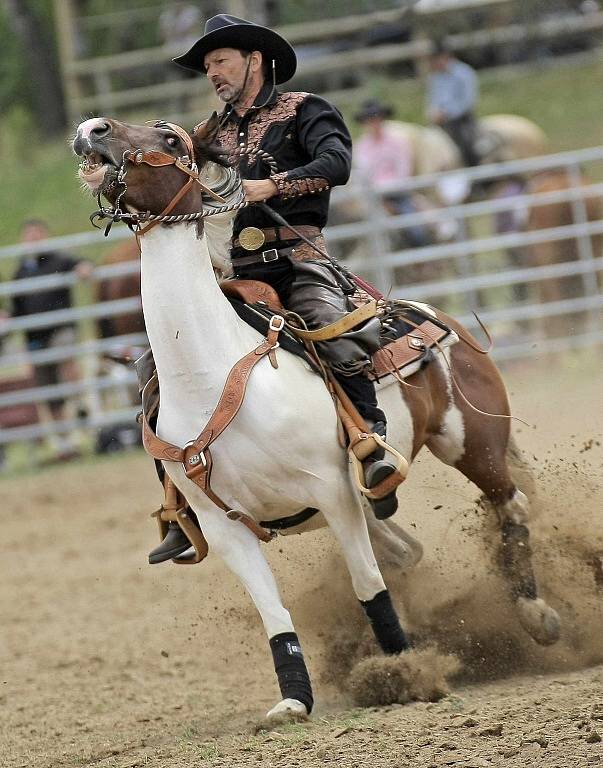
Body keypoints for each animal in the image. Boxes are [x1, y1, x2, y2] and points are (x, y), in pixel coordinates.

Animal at [72, 114, 560, 720]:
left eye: (169, 138)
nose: (92, 128)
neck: (212, 372)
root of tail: (428, 314)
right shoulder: (224, 527)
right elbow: (275, 614)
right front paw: (293, 701)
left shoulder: (333, 493)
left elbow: (368, 583)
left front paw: (402, 668)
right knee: (410, 550)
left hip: (473, 443)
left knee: (509, 505)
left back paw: (537, 615)